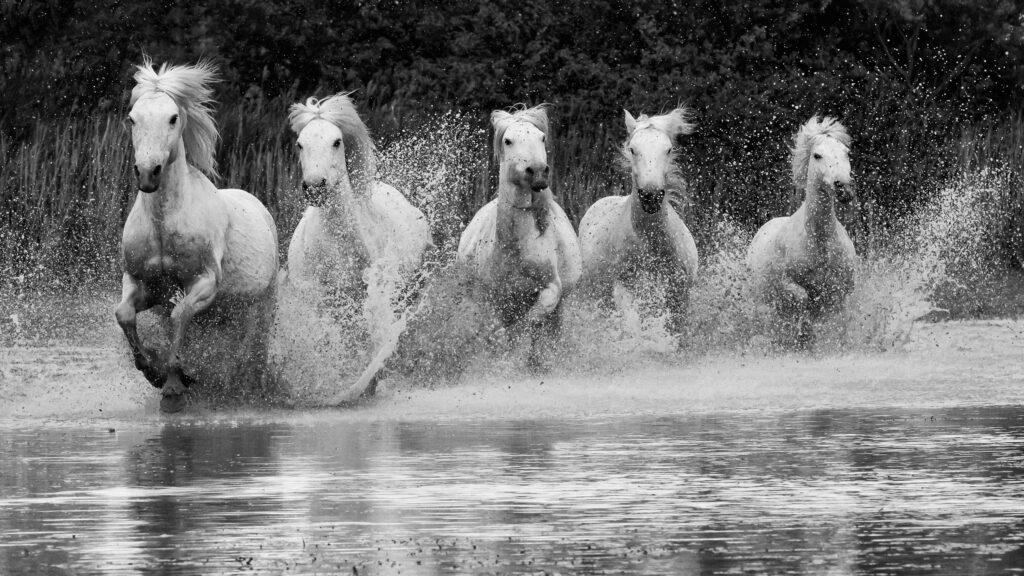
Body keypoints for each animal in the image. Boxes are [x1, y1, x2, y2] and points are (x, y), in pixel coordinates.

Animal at [115, 58, 279, 413]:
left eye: (173, 118)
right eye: (132, 118)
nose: (148, 173)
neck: (163, 224)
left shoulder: (205, 283)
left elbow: (181, 314)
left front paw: (175, 386)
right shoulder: (143, 284)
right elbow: (124, 314)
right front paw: (154, 372)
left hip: (260, 307)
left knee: (253, 350)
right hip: (225, 314)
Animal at [285, 93, 433, 402]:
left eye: (336, 142)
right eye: (300, 143)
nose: (315, 187)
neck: (337, 244)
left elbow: (374, 339)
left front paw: (367, 385)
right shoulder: (319, 301)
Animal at [457, 104, 582, 369]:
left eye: (542, 137)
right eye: (508, 140)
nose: (538, 172)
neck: (515, 246)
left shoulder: (551, 290)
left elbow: (530, 323)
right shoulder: (491, 299)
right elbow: (497, 333)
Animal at [578, 108, 698, 332]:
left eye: (668, 149)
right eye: (633, 149)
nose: (651, 196)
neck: (651, 243)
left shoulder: (679, 294)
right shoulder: (625, 290)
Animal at [746, 116, 857, 343]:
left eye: (846, 152)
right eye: (817, 155)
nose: (844, 187)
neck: (819, 241)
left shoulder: (844, 291)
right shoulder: (788, 284)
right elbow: (803, 298)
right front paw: (804, 328)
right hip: (758, 302)